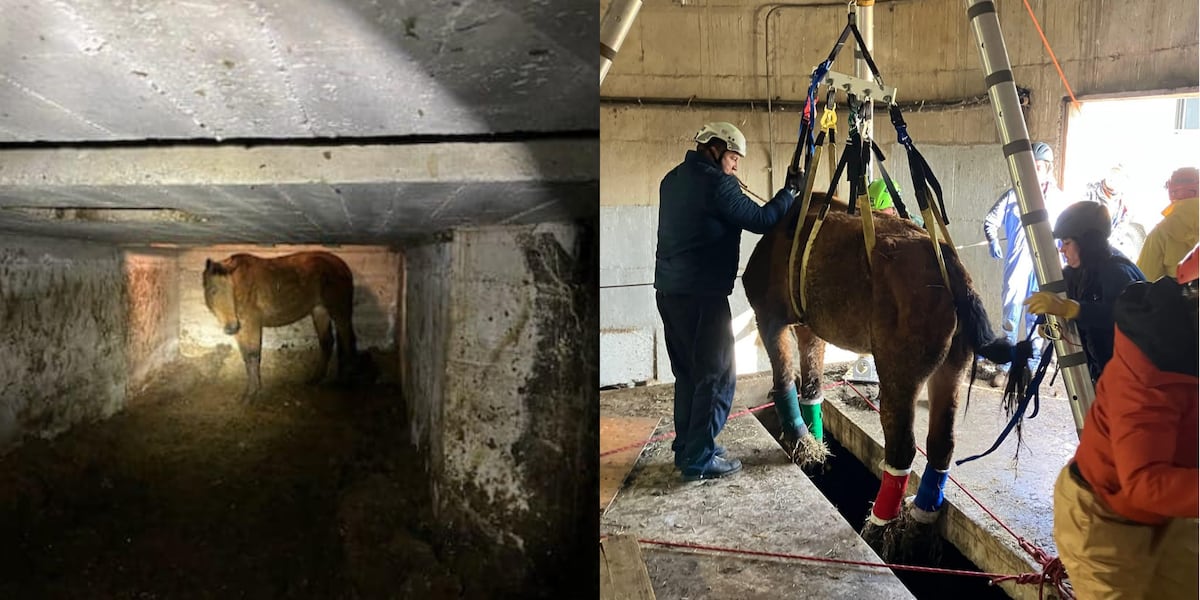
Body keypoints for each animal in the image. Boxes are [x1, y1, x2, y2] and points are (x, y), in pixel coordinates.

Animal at [204, 250, 362, 400]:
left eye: (231, 290)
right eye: (213, 291)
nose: (231, 327)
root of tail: (343, 266)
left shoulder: (252, 324)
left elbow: (253, 356)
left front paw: (252, 393)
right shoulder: (241, 329)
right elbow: (247, 357)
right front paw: (251, 392)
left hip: (339, 311)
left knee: (347, 341)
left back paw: (345, 382)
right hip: (320, 311)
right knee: (327, 342)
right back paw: (315, 379)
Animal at [744, 194, 1017, 559]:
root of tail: (952, 272)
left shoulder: (769, 318)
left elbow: (784, 381)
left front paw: (799, 440)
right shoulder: (809, 328)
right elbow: (812, 387)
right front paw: (816, 447)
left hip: (898, 371)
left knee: (902, 448)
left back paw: (879, 527)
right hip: (951, 368)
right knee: (942, 443)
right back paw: (919, 521)